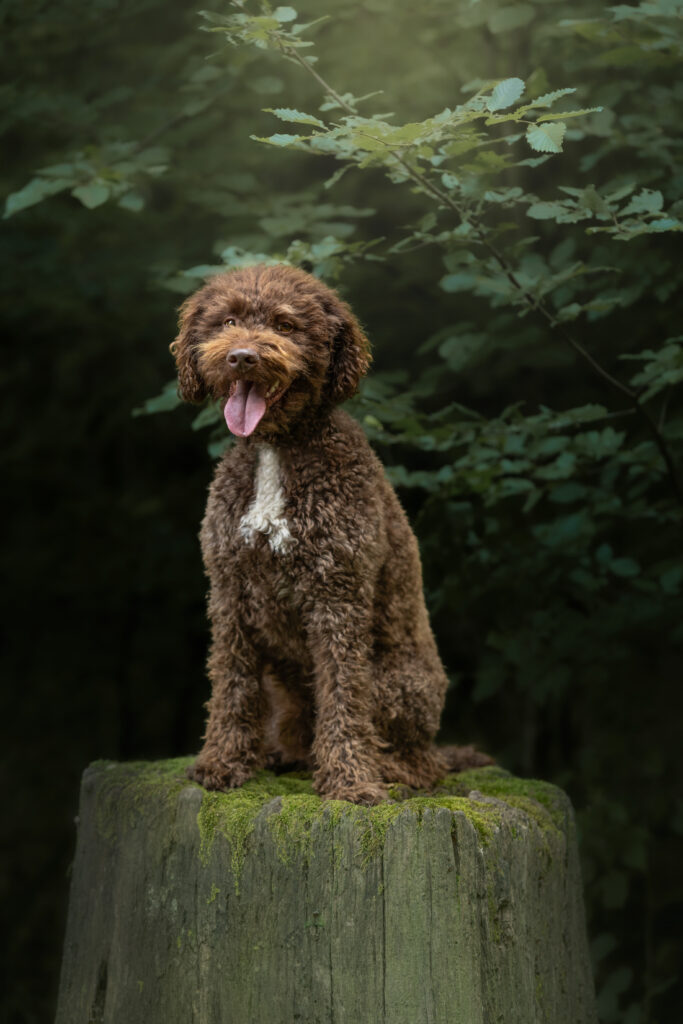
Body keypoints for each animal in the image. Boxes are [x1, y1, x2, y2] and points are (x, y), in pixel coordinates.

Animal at [171, 266, 491, 806]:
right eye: (228, 320)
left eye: (285, 324)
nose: (243, 356)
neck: (275, 451)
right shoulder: (230, 592)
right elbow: (232, 684)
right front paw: (223, 763)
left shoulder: (337, 596)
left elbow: (343, 694)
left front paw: (350, 780)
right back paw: (283, 754)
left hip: (395, 687)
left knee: (415, 760)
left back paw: (387, 768)